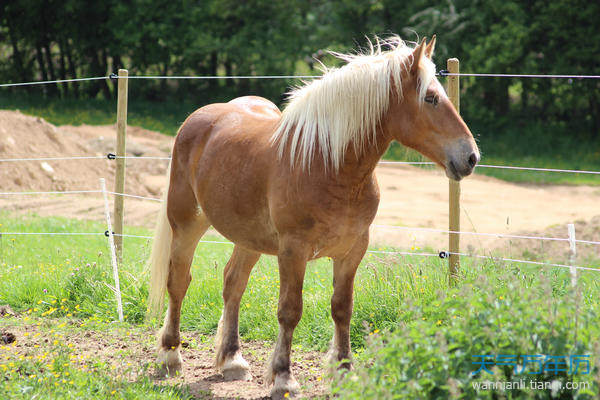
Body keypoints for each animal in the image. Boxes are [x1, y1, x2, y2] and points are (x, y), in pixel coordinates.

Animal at [144, 36, 478, 398]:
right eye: (430, 98)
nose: (471, 157)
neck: (327, 163)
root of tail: (197, 119)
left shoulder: (353, 249)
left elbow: (342, 308)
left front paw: (344, 371)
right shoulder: (293, 250)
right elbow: (290, 311)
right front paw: (283, 377)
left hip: (249, 238)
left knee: (233, 284)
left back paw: (232, 360)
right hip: (187, 223)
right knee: (178, 282)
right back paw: (170, 356)